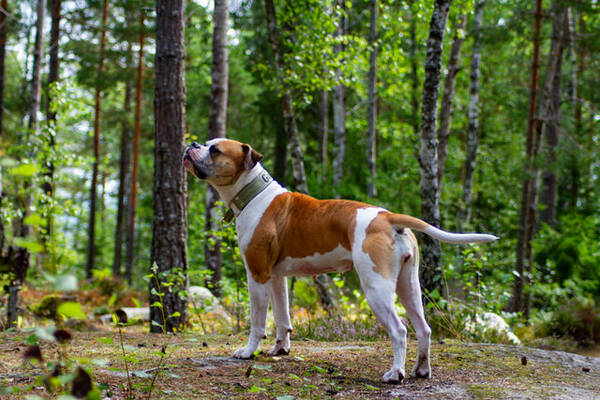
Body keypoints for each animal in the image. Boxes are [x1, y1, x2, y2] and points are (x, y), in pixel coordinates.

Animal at [183, 139, 496, 382]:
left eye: (215, 150)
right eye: (206, 143)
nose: (192, 144)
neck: (254, 194)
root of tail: (387, 217)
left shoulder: (258, 274)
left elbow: (258, 321)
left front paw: (248, 351)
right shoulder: (277, 277)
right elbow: (283, 318)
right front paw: (280, 349)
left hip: (376, 289)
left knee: (399, 330)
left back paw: (395, 373)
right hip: (409, 287)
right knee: (424, 328)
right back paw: (421, 370)